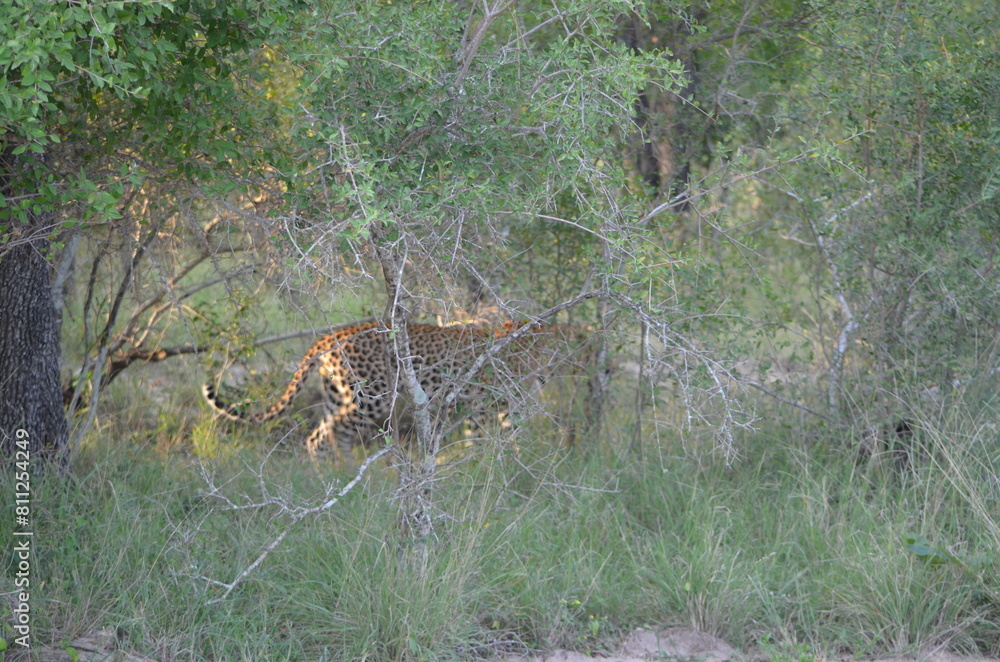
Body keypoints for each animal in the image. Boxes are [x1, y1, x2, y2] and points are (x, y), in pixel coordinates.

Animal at [203, 320, 592, 460]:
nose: (589, 366)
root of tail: (334, 333)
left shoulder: (477, 407)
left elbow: (481, 440)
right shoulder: (494, 406)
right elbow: (500, 440)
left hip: (336, 396)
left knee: (319, 436)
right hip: (368, 398)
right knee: (330, 437)